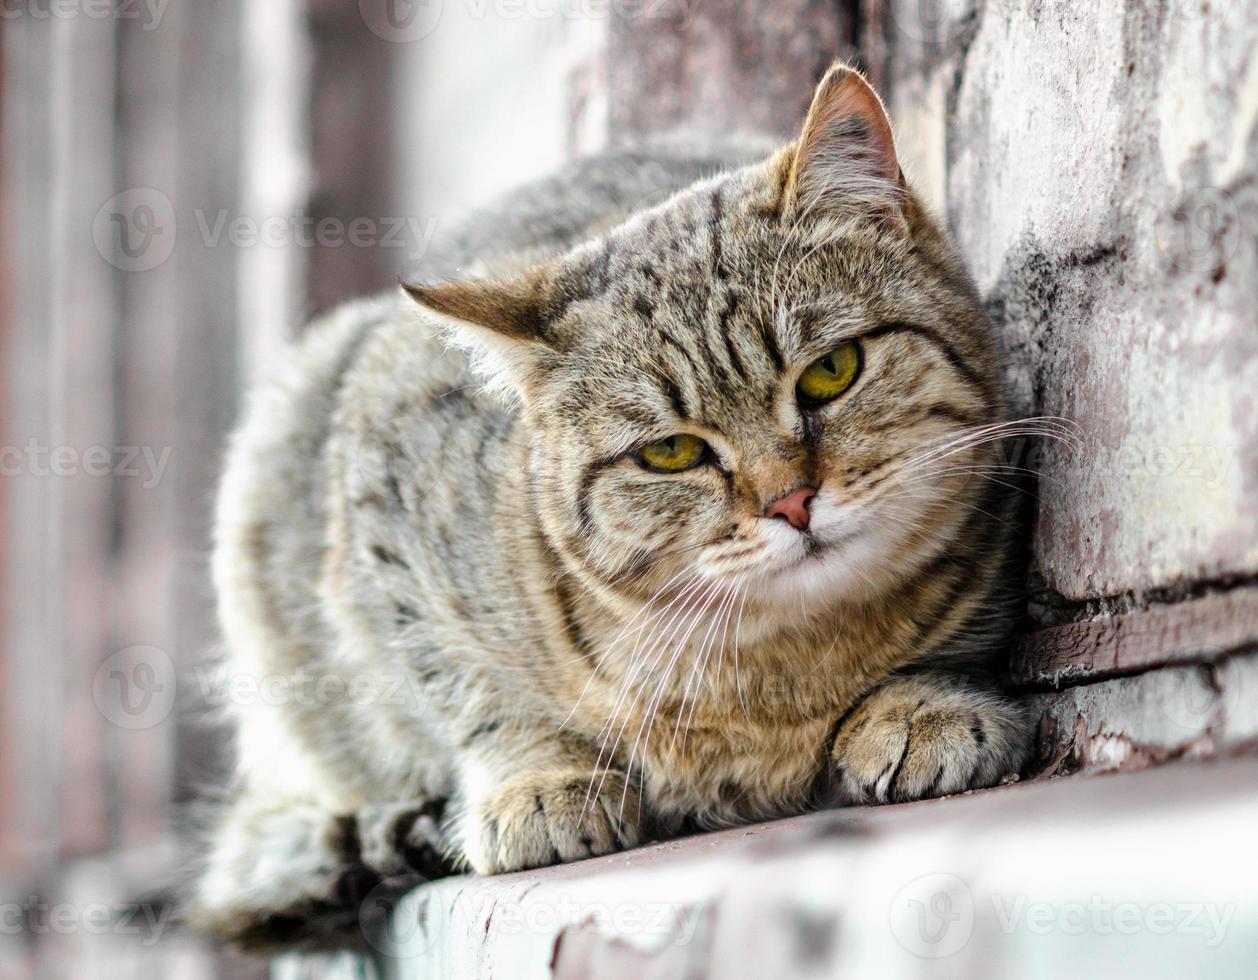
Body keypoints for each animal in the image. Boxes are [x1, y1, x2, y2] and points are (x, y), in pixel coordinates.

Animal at [186, 63, 1031, 951]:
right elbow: (469, 689)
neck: (779, 673)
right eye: (670, 453)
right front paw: (540, 774)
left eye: (831, 371)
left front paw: (919, 701)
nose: (792, 502)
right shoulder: (383, 494)